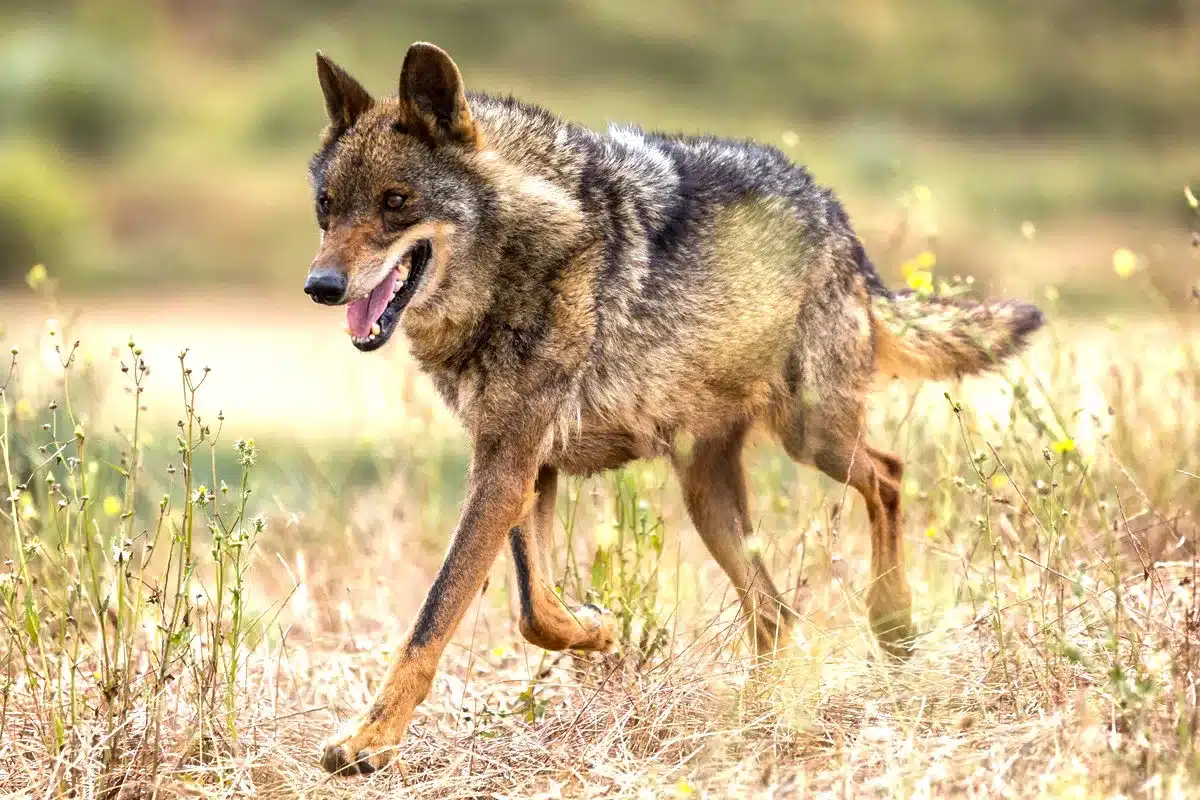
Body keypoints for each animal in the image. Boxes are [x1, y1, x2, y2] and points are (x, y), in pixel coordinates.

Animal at [303, 42, 1044, 775]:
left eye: (396, 202)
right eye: (327, 207)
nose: (320, 286)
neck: (523, 255)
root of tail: (836, 214)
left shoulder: (510, 467)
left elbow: (436, 614)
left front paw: (369, 741)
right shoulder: (520, 463)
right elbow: (534, 609)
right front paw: (596, 629)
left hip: (813, 439)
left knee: (888, 475)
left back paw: (892, 625)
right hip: (709, 495)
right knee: (775, 611)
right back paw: (758, 716)